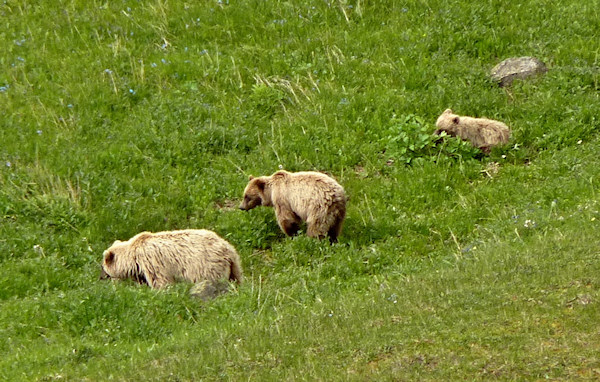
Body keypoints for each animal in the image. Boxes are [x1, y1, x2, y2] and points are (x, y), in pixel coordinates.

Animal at [99, 228, 243, 288]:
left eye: (103, 266)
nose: (101, 277)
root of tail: (228, 250)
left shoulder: (151, 261)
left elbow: (161, 280)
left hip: (207, 265)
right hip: (235, 265)